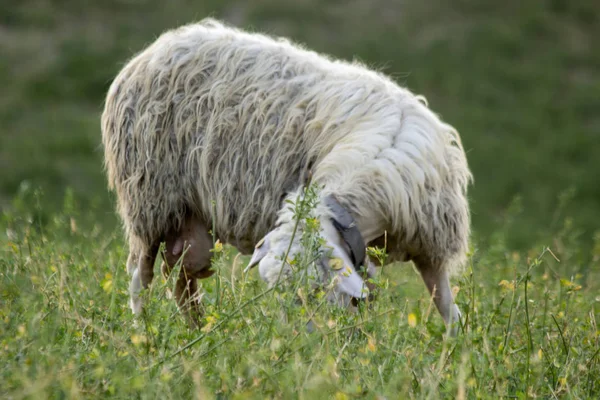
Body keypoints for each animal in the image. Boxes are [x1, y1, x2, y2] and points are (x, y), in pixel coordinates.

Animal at [101, 17, 472, 332]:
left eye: (319, 290)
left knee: (181, 279)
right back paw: (144, 334)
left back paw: (197, 331)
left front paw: (456, 349)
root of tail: (156, 47)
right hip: (148, 202)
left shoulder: (429, 247)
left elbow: (445, 305)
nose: (300, 345)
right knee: (140, 278)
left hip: (186, 219)